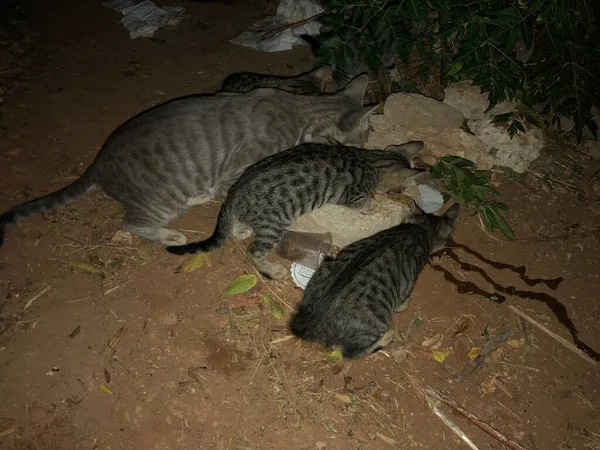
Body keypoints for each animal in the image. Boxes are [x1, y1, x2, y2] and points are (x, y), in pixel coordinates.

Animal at [0, 74, 376, 250]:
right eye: (368, 130)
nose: (371, 141)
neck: (300, 112)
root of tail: (98, 160)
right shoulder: (237, 171)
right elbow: (231, 200)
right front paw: (239, 227)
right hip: (158, 201)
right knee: (131, 224)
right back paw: (169, 235)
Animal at [166, 141, 424, 280]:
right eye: (400, 187)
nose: (400, 191)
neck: (369, 158)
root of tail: (235, 193)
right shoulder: (353, 196)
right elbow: (364, 203)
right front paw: (375, 204)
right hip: (274, 224)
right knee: (253, 252)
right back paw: (273, 270)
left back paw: (240, 231)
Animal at [290, 204, 460, 358]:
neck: (422, 228)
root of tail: (312, 321)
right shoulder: (407, 285)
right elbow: (403, 304)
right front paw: (405, 304)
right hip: (375, 323)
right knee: (350, 353)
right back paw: (387, 336)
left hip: (326, 265)